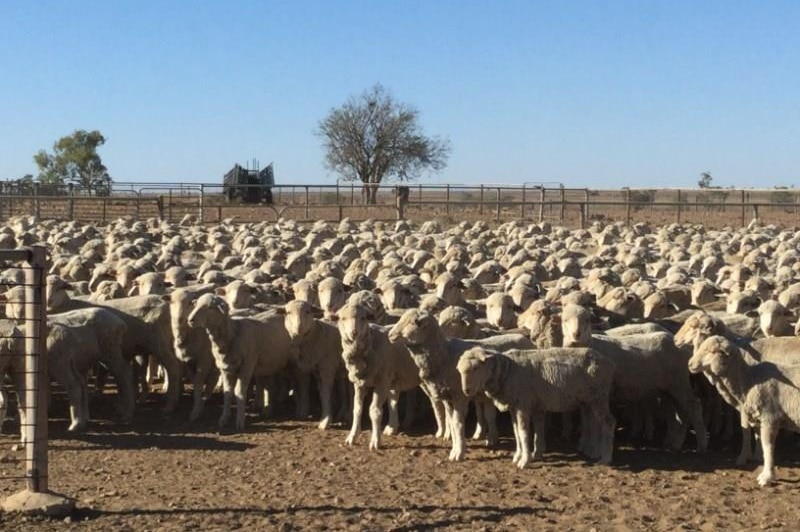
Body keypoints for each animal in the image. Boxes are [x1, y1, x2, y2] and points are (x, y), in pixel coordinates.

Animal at [386, 310, 532, 460]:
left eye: (413, 322)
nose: (390, 335)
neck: (445, 355)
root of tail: (523, 337)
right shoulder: (448, 397)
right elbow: (452, 421)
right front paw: (454, 449)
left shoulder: (459, 396)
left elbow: (457, 423)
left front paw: (459, 452)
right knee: (489, 413)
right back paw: (491, 438)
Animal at [456, 344, 620, 466]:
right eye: (459, 371)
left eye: (476, 368)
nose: (466, 390)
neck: (509, 372)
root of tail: (610, 364)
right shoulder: (515, 406)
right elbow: (516, 432)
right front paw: (518, 456)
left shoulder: (523, 404)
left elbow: (523, 432)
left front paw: (524, 461)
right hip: (590, 400)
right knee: (594, 423)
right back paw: (593, 451)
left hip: (599, 396)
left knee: (608, 422)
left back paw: (605, 458)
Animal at [684, 336, 800, 486]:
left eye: (711, 351)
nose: (689, 364)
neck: (749, 379)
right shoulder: (757, 417)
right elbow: (758, 439)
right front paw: (757, 460)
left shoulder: (770, 417)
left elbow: (767, 446)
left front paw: (766, 477)